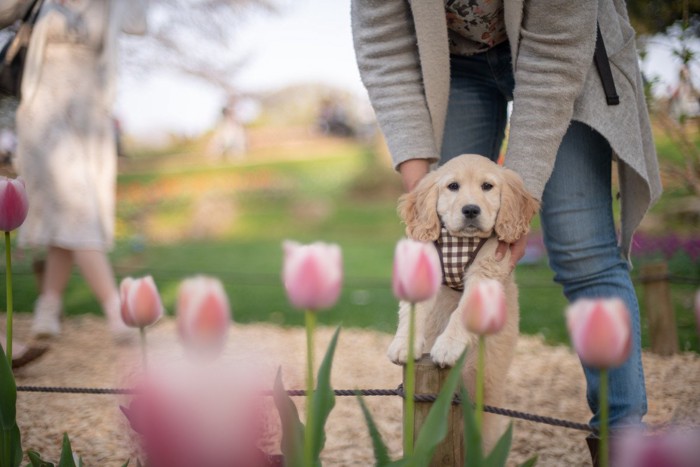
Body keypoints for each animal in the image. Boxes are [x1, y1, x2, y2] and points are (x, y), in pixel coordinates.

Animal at [386, 154, 540, 450]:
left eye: (487, 186)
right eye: (453, 186)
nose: (470, 210)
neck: (459, 242)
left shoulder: (487, 270)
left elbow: (462, 312)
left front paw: (447, 347)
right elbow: (412, 310)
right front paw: (404, 343)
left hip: (486, 380)